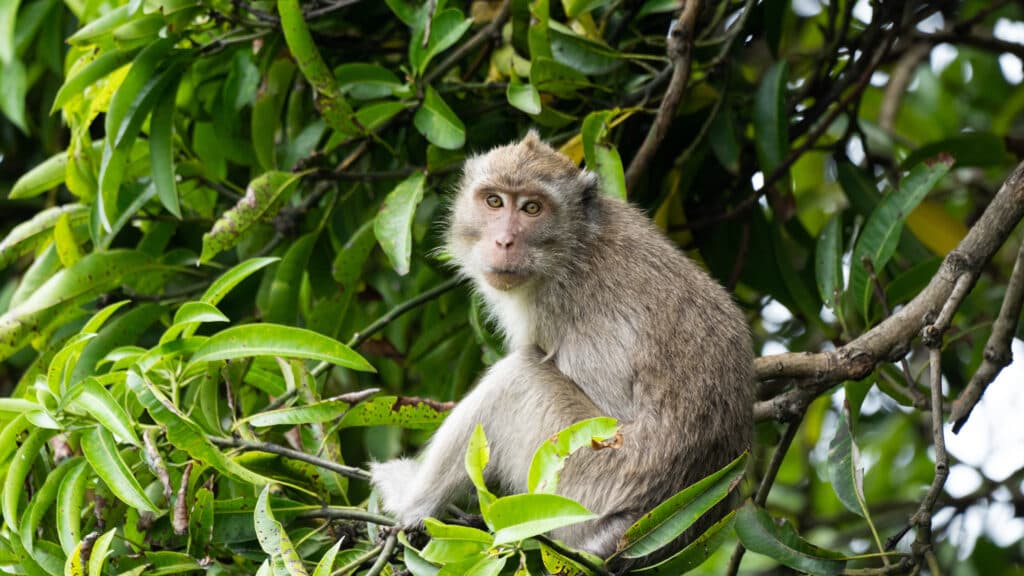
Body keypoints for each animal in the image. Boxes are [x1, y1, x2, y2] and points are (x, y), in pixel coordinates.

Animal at [370, 131, 754, 565]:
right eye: (494, 201)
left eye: (532, 208)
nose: (504, 240)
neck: (573, 246)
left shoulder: (554, 307)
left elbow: (610, 412)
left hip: (581, 488)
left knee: (517, 376)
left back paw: (409, 502)